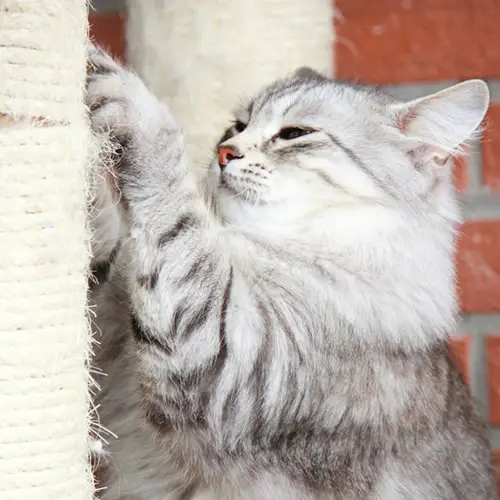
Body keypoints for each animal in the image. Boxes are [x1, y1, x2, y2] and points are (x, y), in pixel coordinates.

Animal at [87, 45, 496, 498]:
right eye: (237, 125)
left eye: (294, 134)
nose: (224, 151)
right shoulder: (110, 342)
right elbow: (103, 254)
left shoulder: (231, 356)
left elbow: (170, 198)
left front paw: (124, 92)